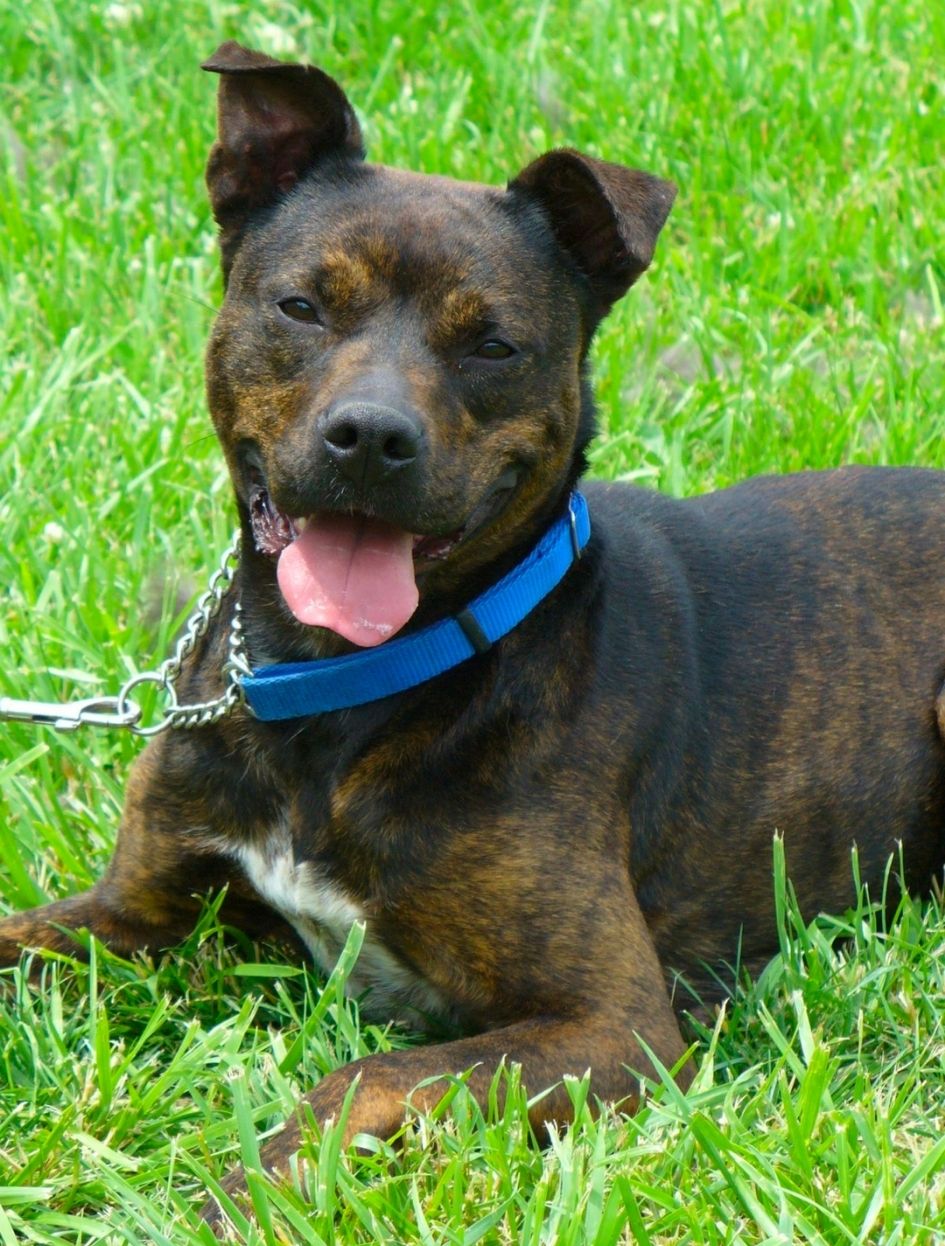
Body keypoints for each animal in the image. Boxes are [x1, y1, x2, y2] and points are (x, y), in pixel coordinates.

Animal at [1, 38, 945, 1226]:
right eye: (301, 306)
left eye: (495, 344)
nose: (370, 436)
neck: (340, 691)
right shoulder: (135, 911)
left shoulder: (610, 1023)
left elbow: (362, 1075)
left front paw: (245, 1196)